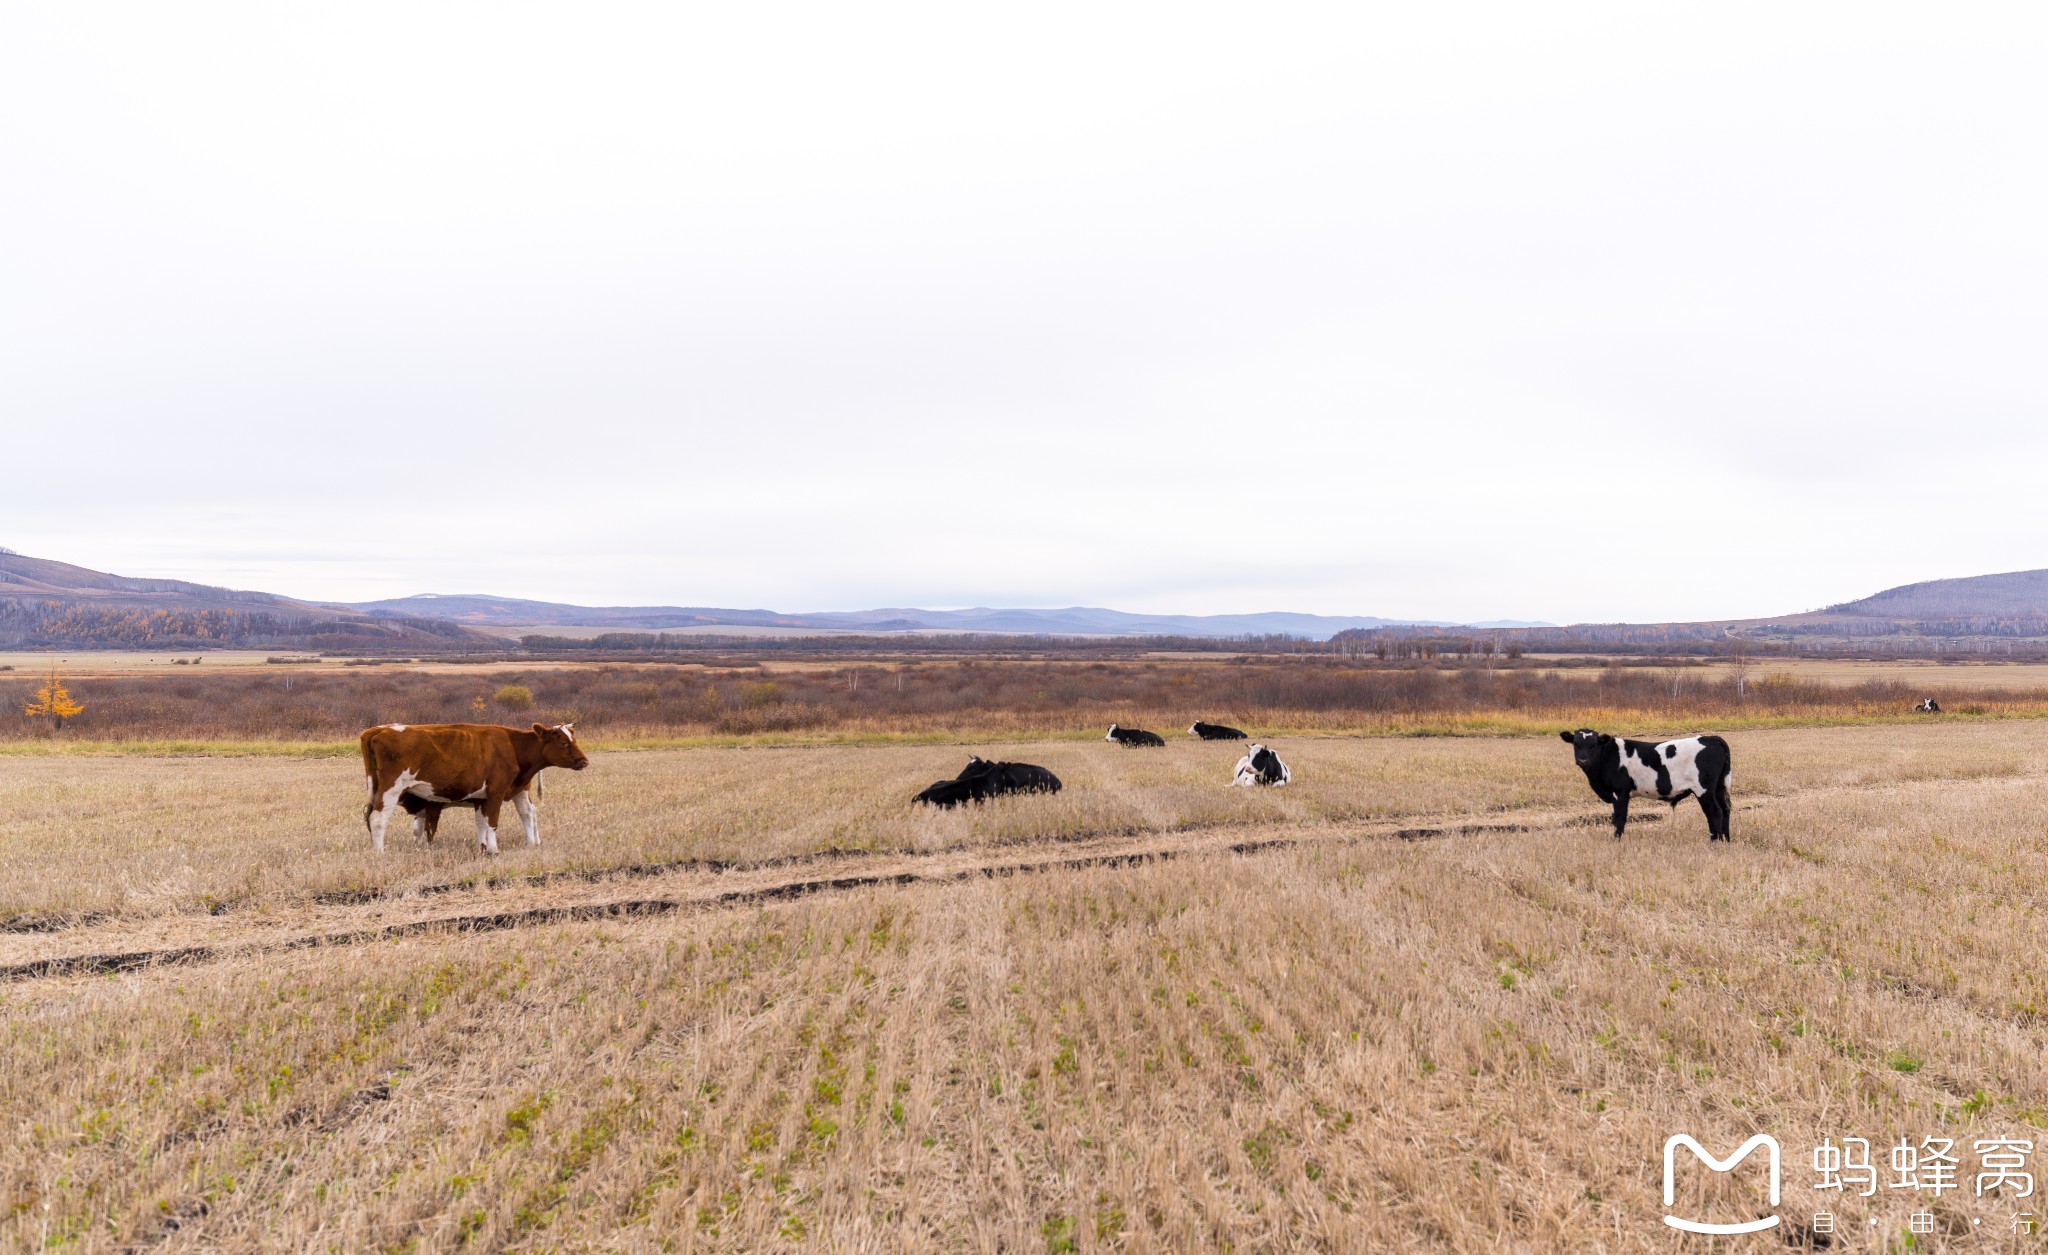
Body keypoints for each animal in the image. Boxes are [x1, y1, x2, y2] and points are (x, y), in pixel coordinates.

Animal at [356, 724, 585, 851]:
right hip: (391, 789)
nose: (584, 761)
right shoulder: (496, 792)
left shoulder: (497, 793)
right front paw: (493, 850)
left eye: (574, 740)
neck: (511, 745)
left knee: (528, 813)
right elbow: (492, 822)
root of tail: (378, 730)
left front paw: (484, 847)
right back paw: (380, 852)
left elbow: (484, 821)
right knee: (377, 819)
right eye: (563, 743)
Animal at [1564, 724, 1728, 843]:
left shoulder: (1619, 792)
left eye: (1593, 745)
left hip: (1704, 790)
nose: (1583, 760)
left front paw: (1616, 841)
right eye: (1576, 744)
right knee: (1725, 810)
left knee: (1715, 812)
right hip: (1719, 787)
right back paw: (1726, 840)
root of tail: (1711, 738)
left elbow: (1619, 818)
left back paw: (1715, 842)